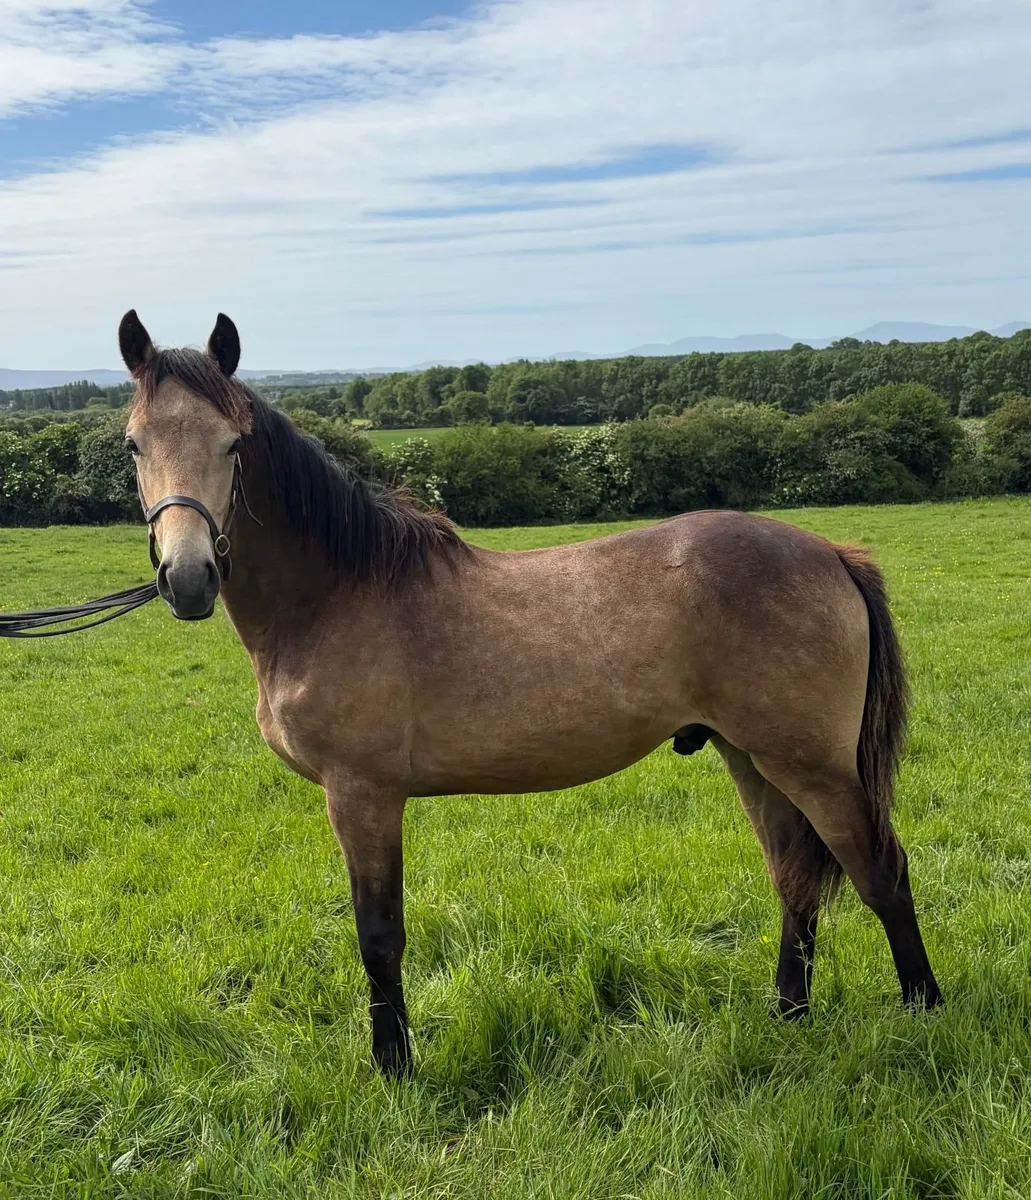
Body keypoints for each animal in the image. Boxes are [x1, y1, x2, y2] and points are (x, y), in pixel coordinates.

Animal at [117, 309, 941, 1075]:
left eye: (233, 444)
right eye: (133, 444)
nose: (187, 579)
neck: (335, 593)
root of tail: (831, 554)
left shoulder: (362, 794)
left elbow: (378, 938)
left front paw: (394, 1070)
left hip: (812, 767)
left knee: (881, 874)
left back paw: (924, 1012)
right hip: (751, 759)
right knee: (795, 883)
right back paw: (787, 1017)